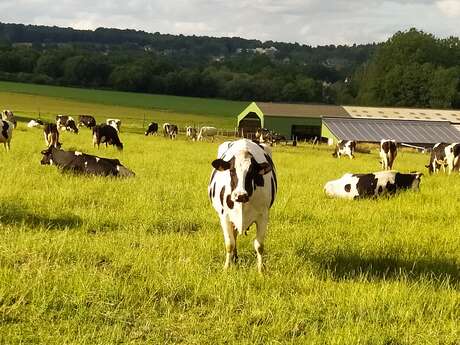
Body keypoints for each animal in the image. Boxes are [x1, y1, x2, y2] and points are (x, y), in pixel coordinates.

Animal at [208, 138, 276, 272]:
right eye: (232, 170)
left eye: (252, 172)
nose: (240, 195)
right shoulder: (224, 217)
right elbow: (229, 244)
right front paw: (226, 268)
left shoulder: (263, 217)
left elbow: (259, 245)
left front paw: (260, 270)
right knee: (234, 237)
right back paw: (234, 258)